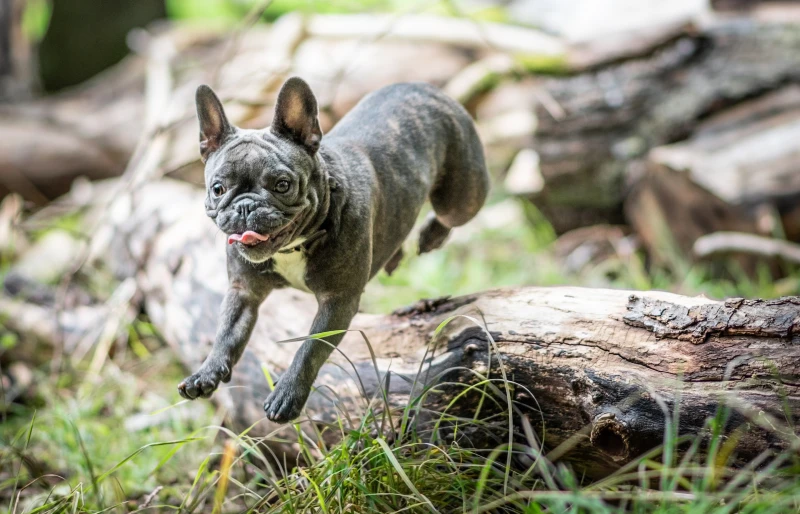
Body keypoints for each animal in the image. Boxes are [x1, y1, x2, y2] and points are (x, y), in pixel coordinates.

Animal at [177, 76, 488, 420]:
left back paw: (431, 234)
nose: (245, 206)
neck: (293, 247)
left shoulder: (337, 302)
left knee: (453, 213)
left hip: (461, 196)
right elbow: (227, 332)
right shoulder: (244, 291)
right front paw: (206, 372)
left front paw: (288, 394)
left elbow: (311, 348)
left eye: (282, 185)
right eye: (218, 189)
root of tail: (424, 87)